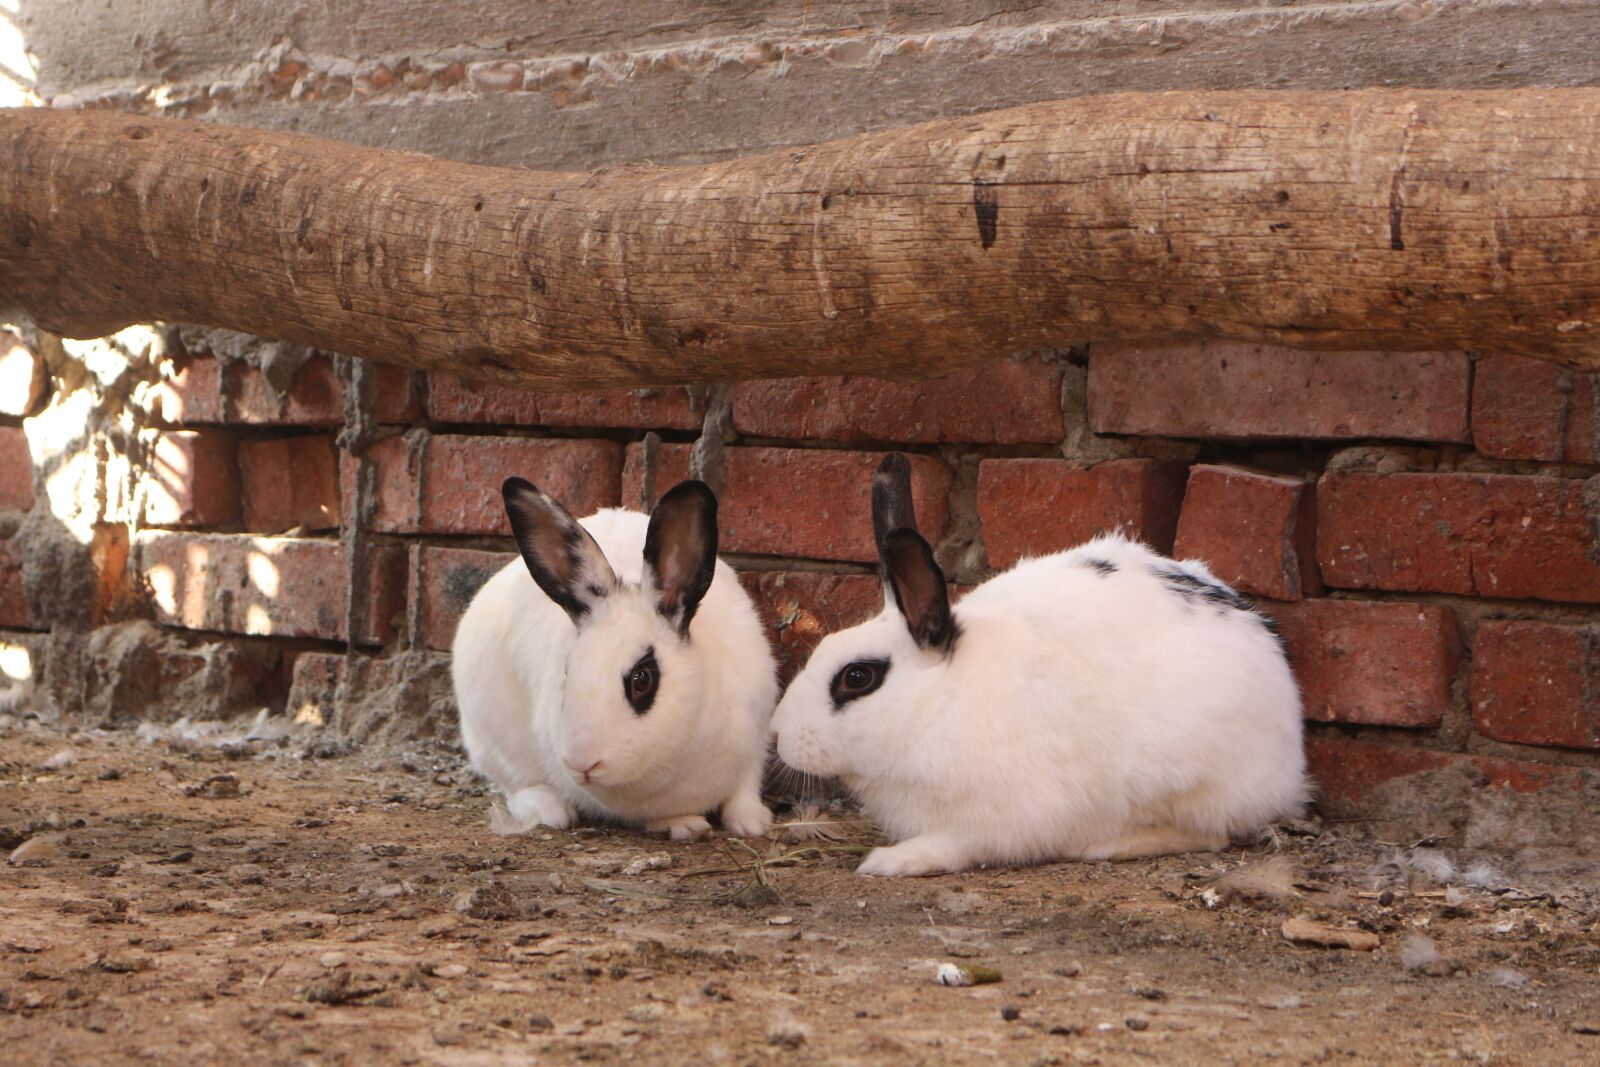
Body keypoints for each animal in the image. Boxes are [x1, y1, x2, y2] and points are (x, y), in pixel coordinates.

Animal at [452, 477, 779, 841]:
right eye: (567, 672)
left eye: (642, 679)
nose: (582, 763)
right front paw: (683, 824)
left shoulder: (757, 738)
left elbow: (745, 787)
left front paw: (751, 821)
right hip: (493, 739)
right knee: (517, 786)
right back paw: (550, 809)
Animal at [771, 453, 1307, 876]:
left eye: (858, 677)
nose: (777, 734)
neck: (940, 701)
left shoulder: (1001, 816)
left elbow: (955, 845)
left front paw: (891, 861)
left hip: (1195, 782)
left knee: (1211, 833)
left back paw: (1109, 843)